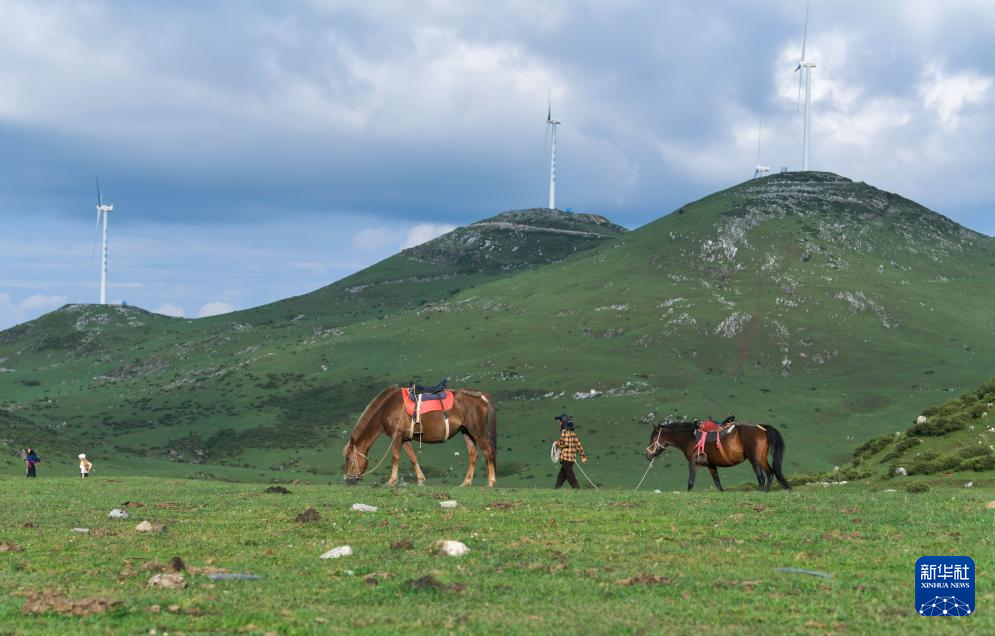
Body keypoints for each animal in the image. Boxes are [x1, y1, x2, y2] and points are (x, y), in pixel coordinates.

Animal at [342, 388, 498, 486]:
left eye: (348, 458)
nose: (348, 480)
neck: (386, 409)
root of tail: (482, 398)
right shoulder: (405, 438)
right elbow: (413, 458)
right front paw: (421, 480)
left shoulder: (397, 436)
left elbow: (395, 457)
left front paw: (391, 481)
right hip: (466, 432)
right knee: (473, 455)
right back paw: (466, 483)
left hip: (477, 431)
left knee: (488, 452)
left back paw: (491, 482)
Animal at [644, 422, 792, 492]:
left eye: (653, 438)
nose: (648, 455)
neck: (690, 438)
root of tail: (763, 428)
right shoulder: (711, 465)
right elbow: (717, 483)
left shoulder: (693, 463)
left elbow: (690, 482)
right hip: (761, 458)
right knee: (770, 473)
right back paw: (767, 492)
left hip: (754, 459)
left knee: (761, 477)